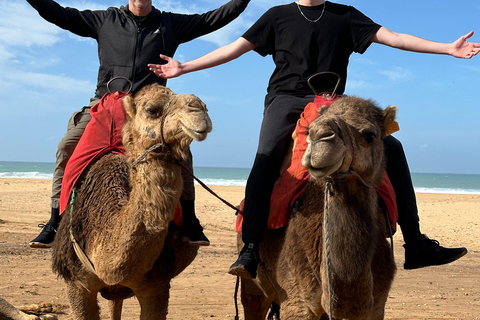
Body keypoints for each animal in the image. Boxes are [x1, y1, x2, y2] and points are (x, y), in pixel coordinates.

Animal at [240, 96, 398, 318]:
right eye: (308, 130)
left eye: (370, 135)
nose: (318, 135)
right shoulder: (296, 300)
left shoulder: (377, 306)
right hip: (253, 288)